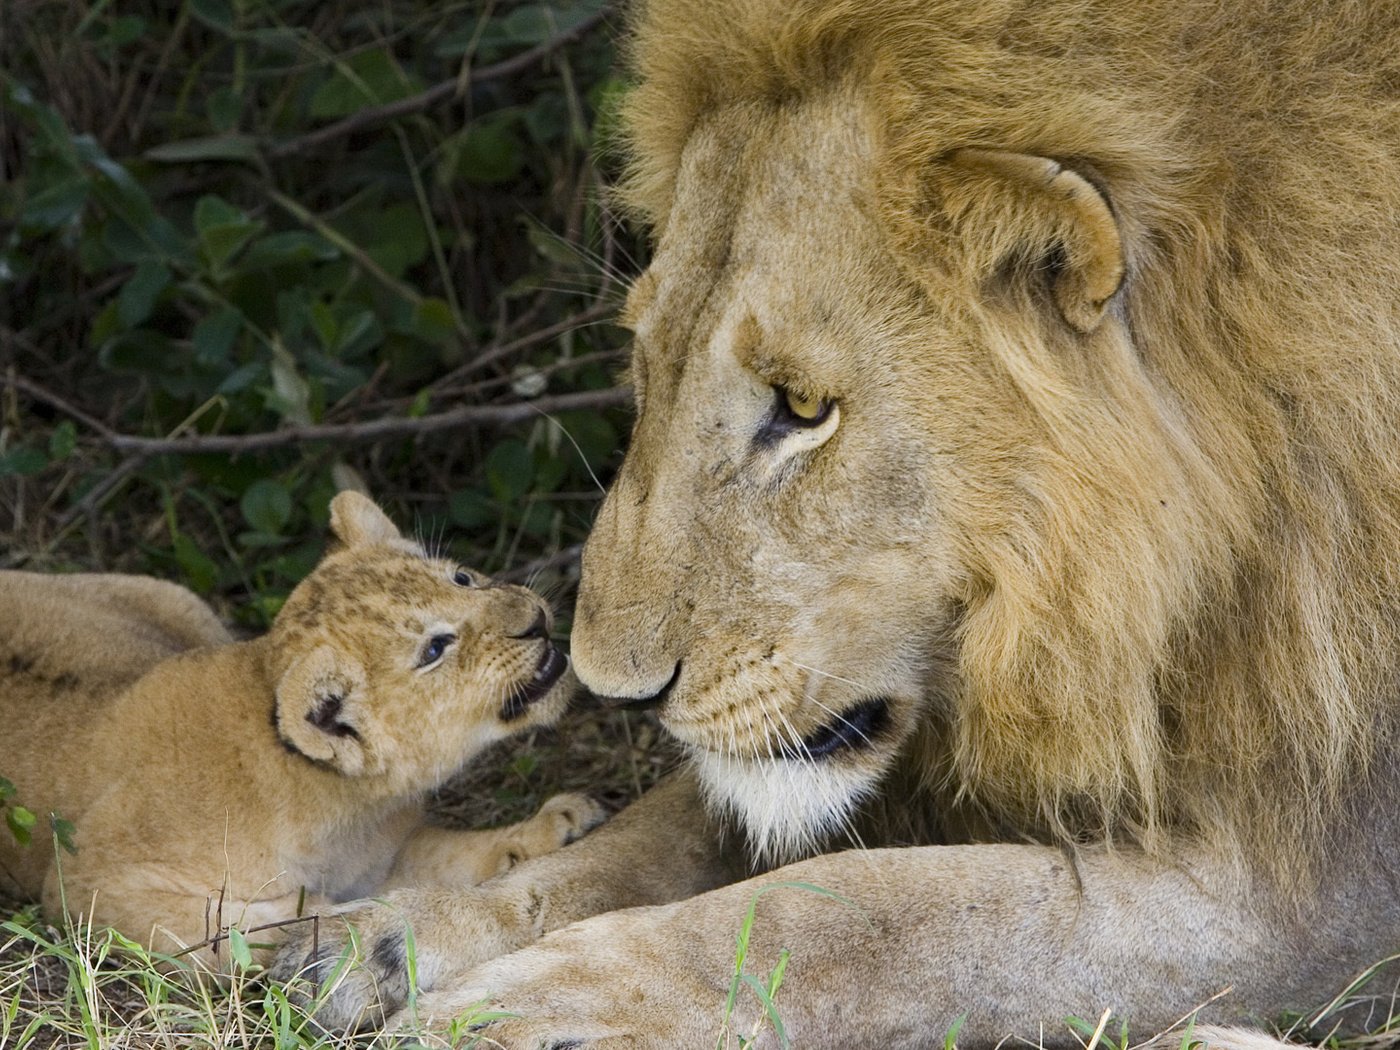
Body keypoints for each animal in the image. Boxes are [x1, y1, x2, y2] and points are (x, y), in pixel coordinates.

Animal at [278, 0, 1400, 1047]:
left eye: (803, 408)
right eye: (646, 362)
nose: (610, 688)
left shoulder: (1321, 893)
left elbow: (877, 908)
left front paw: (548, 1001)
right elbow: (653, 836)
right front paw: (382, 939)